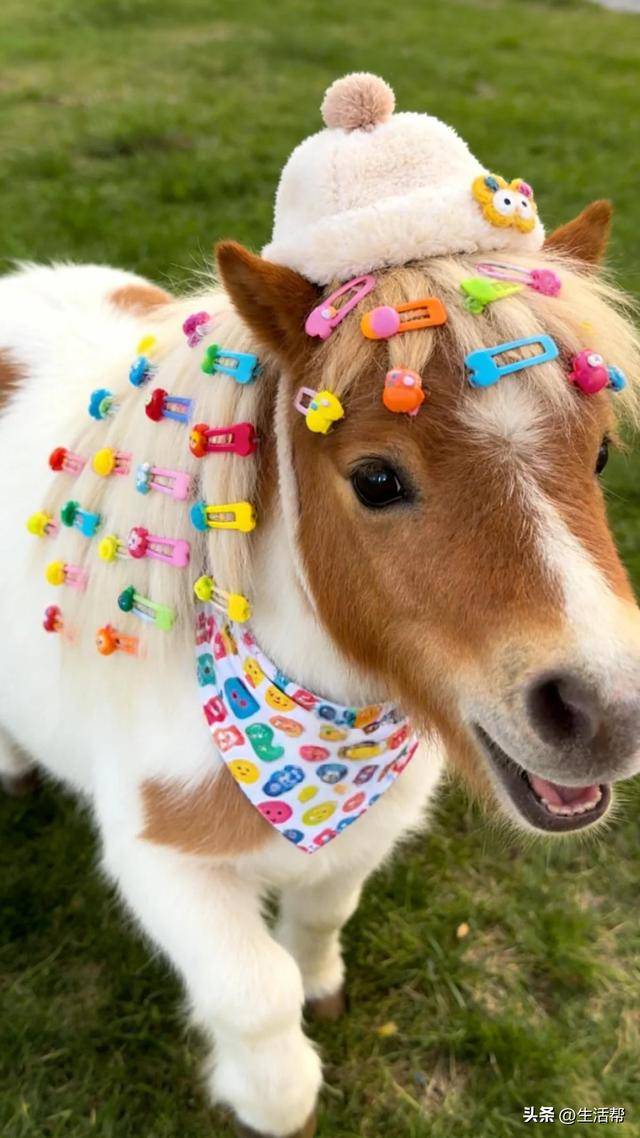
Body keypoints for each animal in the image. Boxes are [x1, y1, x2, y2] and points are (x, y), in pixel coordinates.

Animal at [1, 199, 639, 1138]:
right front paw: (278, 1102)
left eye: (598, 455)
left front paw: (321, 987)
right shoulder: (160, 864)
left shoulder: (365, 835)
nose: (612, 712)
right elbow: (255, 995)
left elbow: (319, 918)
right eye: (375, 479)